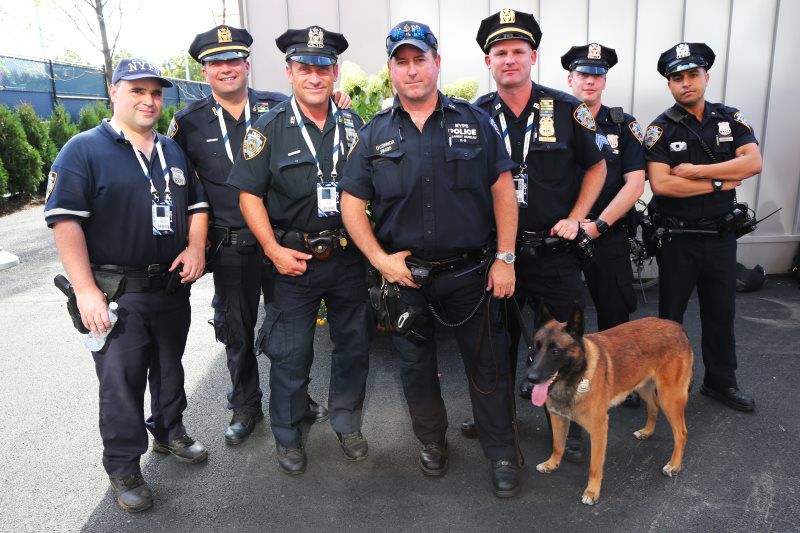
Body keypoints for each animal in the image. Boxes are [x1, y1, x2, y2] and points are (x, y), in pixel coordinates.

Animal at [527, 305, 693, 505]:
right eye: (534, 348)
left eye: (555, 351)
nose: (530, 379)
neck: (575, 377)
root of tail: (677, 326)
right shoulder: (557, 417)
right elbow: (557, 445)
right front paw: (552, 464)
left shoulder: (599, 429)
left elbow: (595, 466)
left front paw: (592, 492)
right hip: (643, 386)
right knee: (654, 407)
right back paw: (647, 432)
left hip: (670, 397)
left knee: (681, 433)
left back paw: (674, 465)